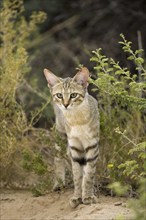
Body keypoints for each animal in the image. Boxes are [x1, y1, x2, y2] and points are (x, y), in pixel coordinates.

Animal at [44, 67, 100, 208]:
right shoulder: (75, 147)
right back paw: (59, 183)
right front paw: (77, 197)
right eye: (59, 95)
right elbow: (77, 176)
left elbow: (89, 174)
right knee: (58, 157)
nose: (65, 105)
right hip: (60, 134)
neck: (77, 120)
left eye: (73, 95)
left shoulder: (92, 145)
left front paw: (88, 196)